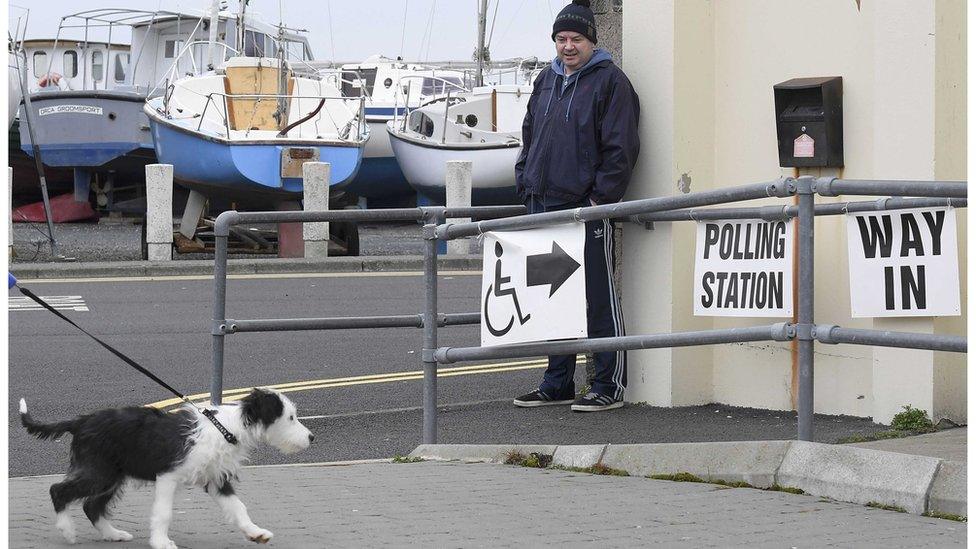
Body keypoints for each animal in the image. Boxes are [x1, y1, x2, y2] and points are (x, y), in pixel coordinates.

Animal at [20, 388, 312, 544]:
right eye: (290, 417)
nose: (310, 438)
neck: (226, 428)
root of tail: (80, 421)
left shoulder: (216, 478)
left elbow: (238, 507)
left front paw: (256, 533)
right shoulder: (168, 476)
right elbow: (163, 513)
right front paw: (161, 543)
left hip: (112, 474)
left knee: (91, 506)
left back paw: (113, 534)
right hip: (98, 471)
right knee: (58, 490)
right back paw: (67, 530)